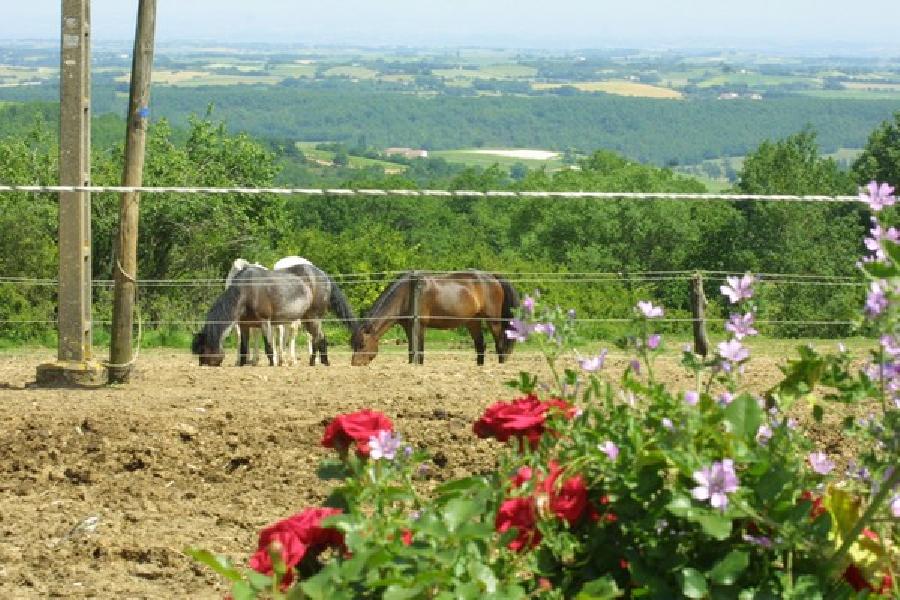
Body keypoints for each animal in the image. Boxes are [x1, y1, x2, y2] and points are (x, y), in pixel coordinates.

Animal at [352, 272, 520, 366]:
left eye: (362, 344)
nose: (355, 364)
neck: (407, 293)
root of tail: (492, 277)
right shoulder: (408, 327)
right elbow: (411, 352)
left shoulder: (419, 326)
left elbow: (419, 352)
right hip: (473, 322)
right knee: (480, 346)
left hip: (493, 321)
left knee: (500, 344)